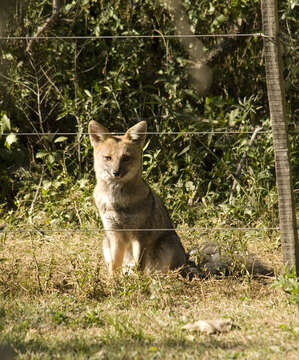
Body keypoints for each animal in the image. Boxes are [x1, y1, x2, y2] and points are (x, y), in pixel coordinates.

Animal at [88, 119, 189, 274]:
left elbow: (139, 268)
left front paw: (138, 281)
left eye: (125, 158)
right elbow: (114, 267)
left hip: (167, 244)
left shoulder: (140, 235)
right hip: (106, 242)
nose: (116, 172)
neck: (117, 202)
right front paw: (112, 281)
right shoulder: (115, 234)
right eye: (108, 158)